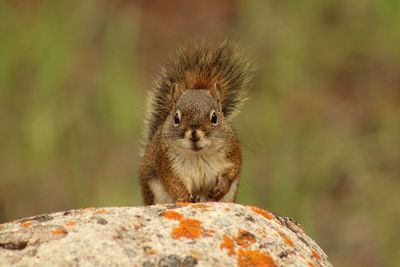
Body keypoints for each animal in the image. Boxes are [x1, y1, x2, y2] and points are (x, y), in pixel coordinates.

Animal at [139, 40, 255, 205]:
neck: (198, 155)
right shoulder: (167, 164)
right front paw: (184, 197)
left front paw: (221, 187)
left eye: (214, 117)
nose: (194, 134)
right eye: (176, 118)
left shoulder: (232, 154)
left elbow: (232, 171)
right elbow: (174, 183)